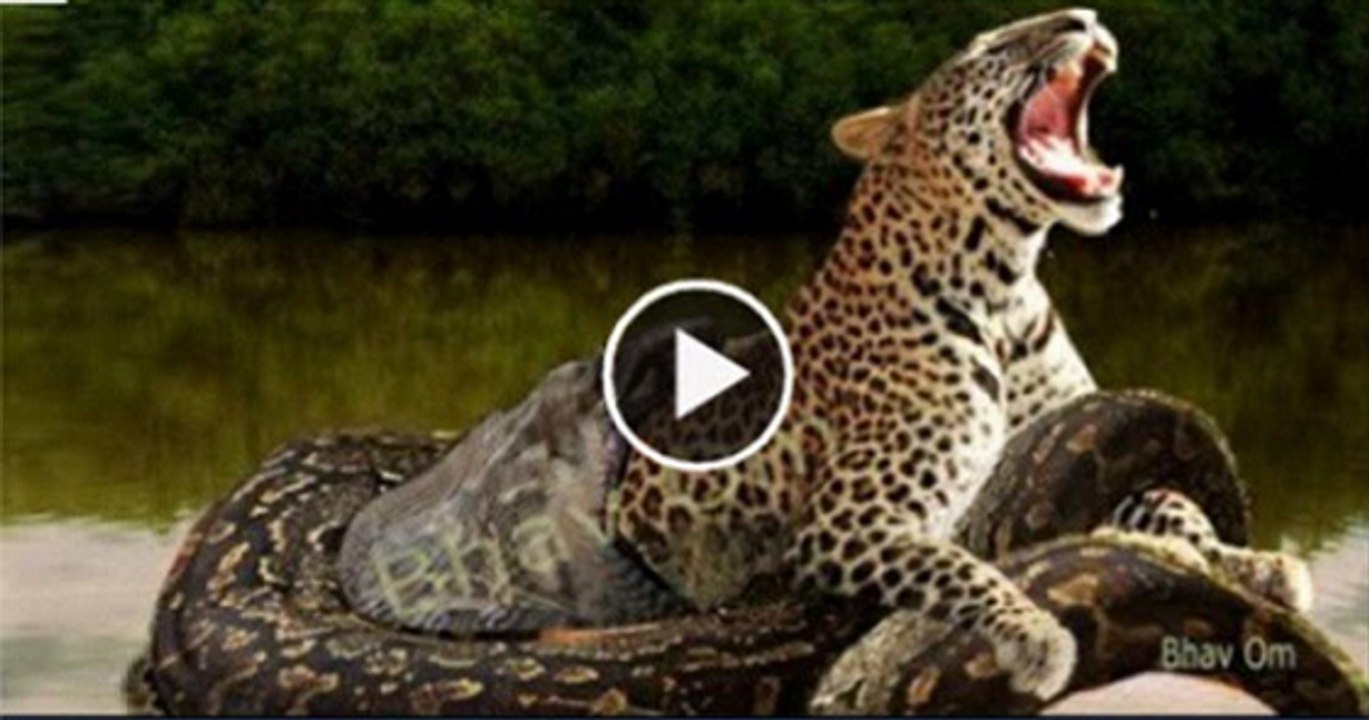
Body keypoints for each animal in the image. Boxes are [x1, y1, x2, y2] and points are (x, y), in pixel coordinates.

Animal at [609, 8, 1313, 700]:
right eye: (989, 48)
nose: (1084, 17)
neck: (1002, 289)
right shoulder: (846, 521)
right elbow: (954, 563)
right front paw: (1035, 635)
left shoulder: (1069, 439)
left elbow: (1165, 499)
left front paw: (1251, 564)